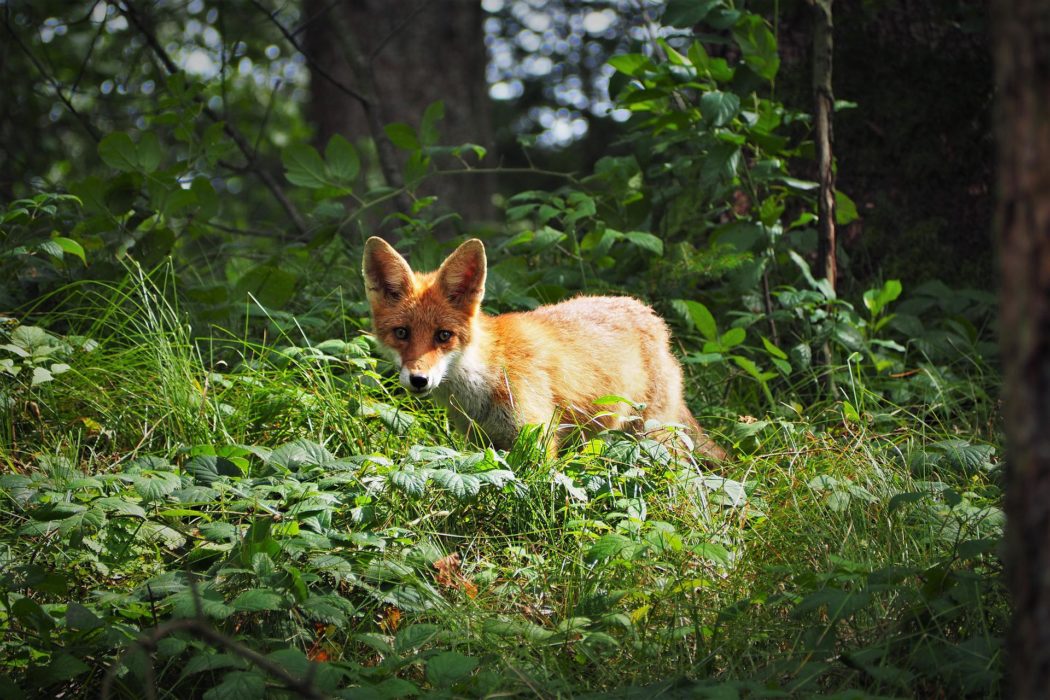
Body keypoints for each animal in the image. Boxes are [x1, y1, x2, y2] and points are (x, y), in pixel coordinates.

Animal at [362, 236, 726, 461]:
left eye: (443, 336)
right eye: (402, 333)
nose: (418, 379)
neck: (488, 374)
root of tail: (654, 318)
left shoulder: (537, 438)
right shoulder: (484, 443)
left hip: (655, 438)